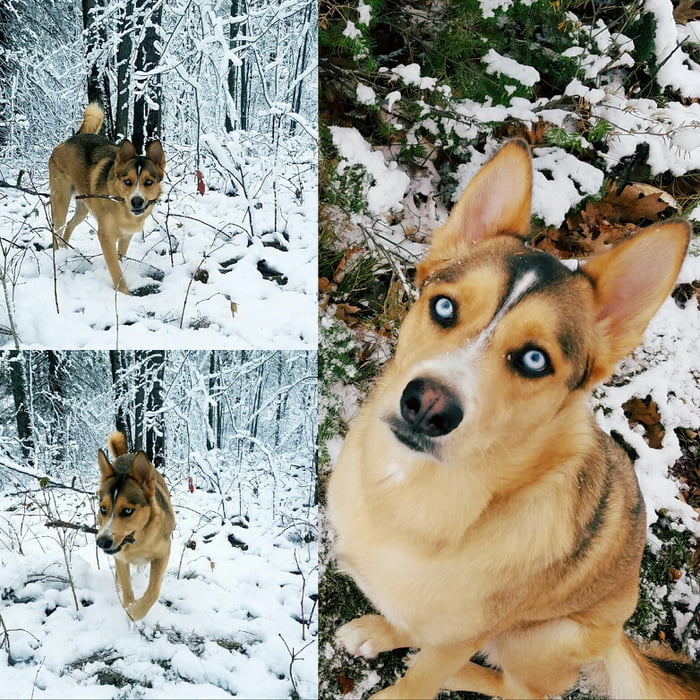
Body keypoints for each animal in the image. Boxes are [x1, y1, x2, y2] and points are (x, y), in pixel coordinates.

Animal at [48, 102, 166, 294]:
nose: (137, 201)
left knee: (69, 226)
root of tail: (71, 138)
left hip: (84, 205)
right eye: (127, 181)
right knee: (57, 229)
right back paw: (58, 255)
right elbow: (116, 270)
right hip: (61, 200)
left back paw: (66, 249)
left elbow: (120, 259)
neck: (121, 206)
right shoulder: (105, 236)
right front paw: (124, 294)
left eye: (148, 182)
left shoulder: (126, 236)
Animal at [96, 430, 174, 620]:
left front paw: (135, 612)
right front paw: (129, 605)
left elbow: (154, 590)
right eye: (103, 508)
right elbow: (126, 586)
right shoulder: (120, 557)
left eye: (127, 511)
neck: (138, 539)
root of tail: (126, 454)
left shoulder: (163, 553)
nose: (102, 542)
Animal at [328, 139, 700, 696]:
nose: (428, 405)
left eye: (534, 359)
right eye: (443, 307)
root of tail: (619, 632)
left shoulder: (463, 636)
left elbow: (419, 682)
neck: (415, 494)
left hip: (548, 636)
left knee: (516, 686)